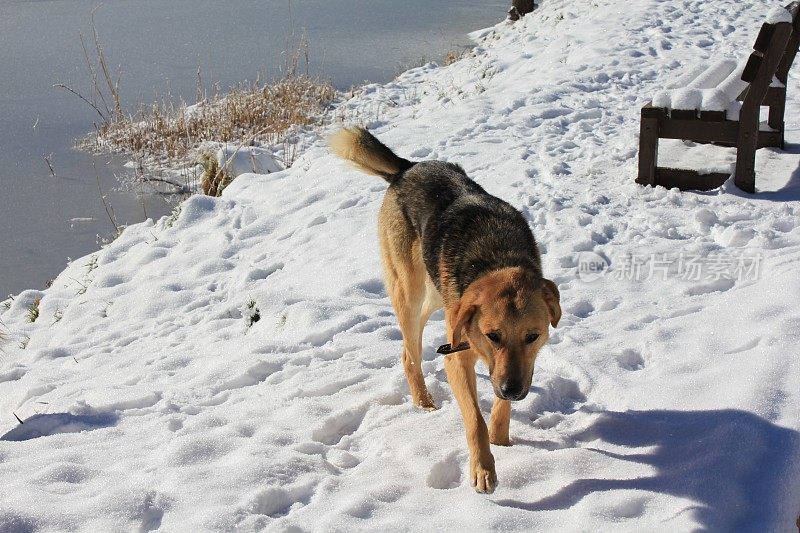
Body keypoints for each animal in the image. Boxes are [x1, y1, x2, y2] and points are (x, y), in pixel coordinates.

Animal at [328, 127, 560, 492]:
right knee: (410, 355)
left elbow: (499, 408)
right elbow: (475, 419)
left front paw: (502, 440)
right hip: (410, 293)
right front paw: (483, 468)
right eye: (492, 335)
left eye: (532, 336)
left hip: (436, 296)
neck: (498, 257)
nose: (512, 390)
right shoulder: (458, 357)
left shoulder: (516, 365)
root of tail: (407, 168)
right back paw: (424, 404)